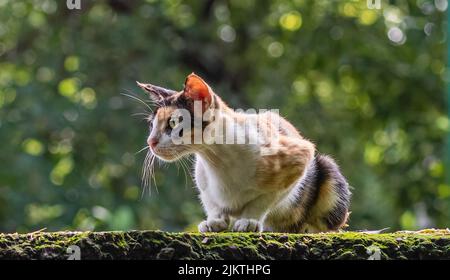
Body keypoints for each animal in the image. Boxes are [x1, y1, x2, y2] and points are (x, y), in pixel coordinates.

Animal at [137, 73, 352, 233]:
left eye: (173, 123)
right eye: (151, 124)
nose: (150, 142)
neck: (217, 160)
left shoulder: (299, 157)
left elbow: (265, 199)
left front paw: (249, 220)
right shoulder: (202, 178)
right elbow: (210, 201)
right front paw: (215, 221)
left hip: (328, 171)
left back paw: (306, 228)